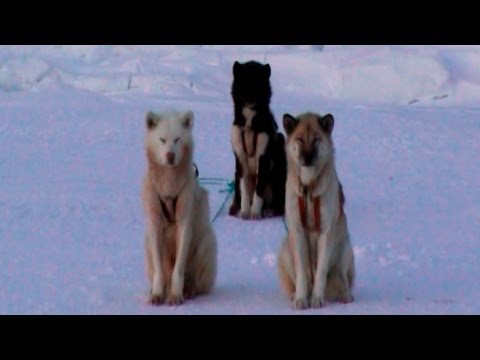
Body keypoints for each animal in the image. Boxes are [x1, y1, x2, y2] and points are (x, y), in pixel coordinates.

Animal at [142, 110, 217, 306]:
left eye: (177, 139)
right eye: (162, 139)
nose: (170, 156)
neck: (168, 188)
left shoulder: (184, 224)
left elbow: (179, 270)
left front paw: (176, 295)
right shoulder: (154, 226)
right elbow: (159, 271)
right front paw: (157, 293)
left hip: (205, 244)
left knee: (197, 282)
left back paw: (189, 290)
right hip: (147, 244)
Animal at [228, 60, 284, 218]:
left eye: (258, 84)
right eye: (245, 83)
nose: (251, 97)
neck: (249, 124)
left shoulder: (263, 156)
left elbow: (259, 188)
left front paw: (254, 212)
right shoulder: (240, 157)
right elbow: (244, 187)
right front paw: (245, 210)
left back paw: (270, 210)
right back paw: (235, 207)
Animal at [278, 112, 352, 310]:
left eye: (316, 139)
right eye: (300, 139)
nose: (308, 158)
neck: (309, 189)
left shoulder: (326, 231)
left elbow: (320, 272)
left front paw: (317, 299)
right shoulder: (297, 230)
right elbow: (302, 273)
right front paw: (301, 299)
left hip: (344, 249)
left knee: (342, 277)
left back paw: (345, 294)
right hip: (286, 248)